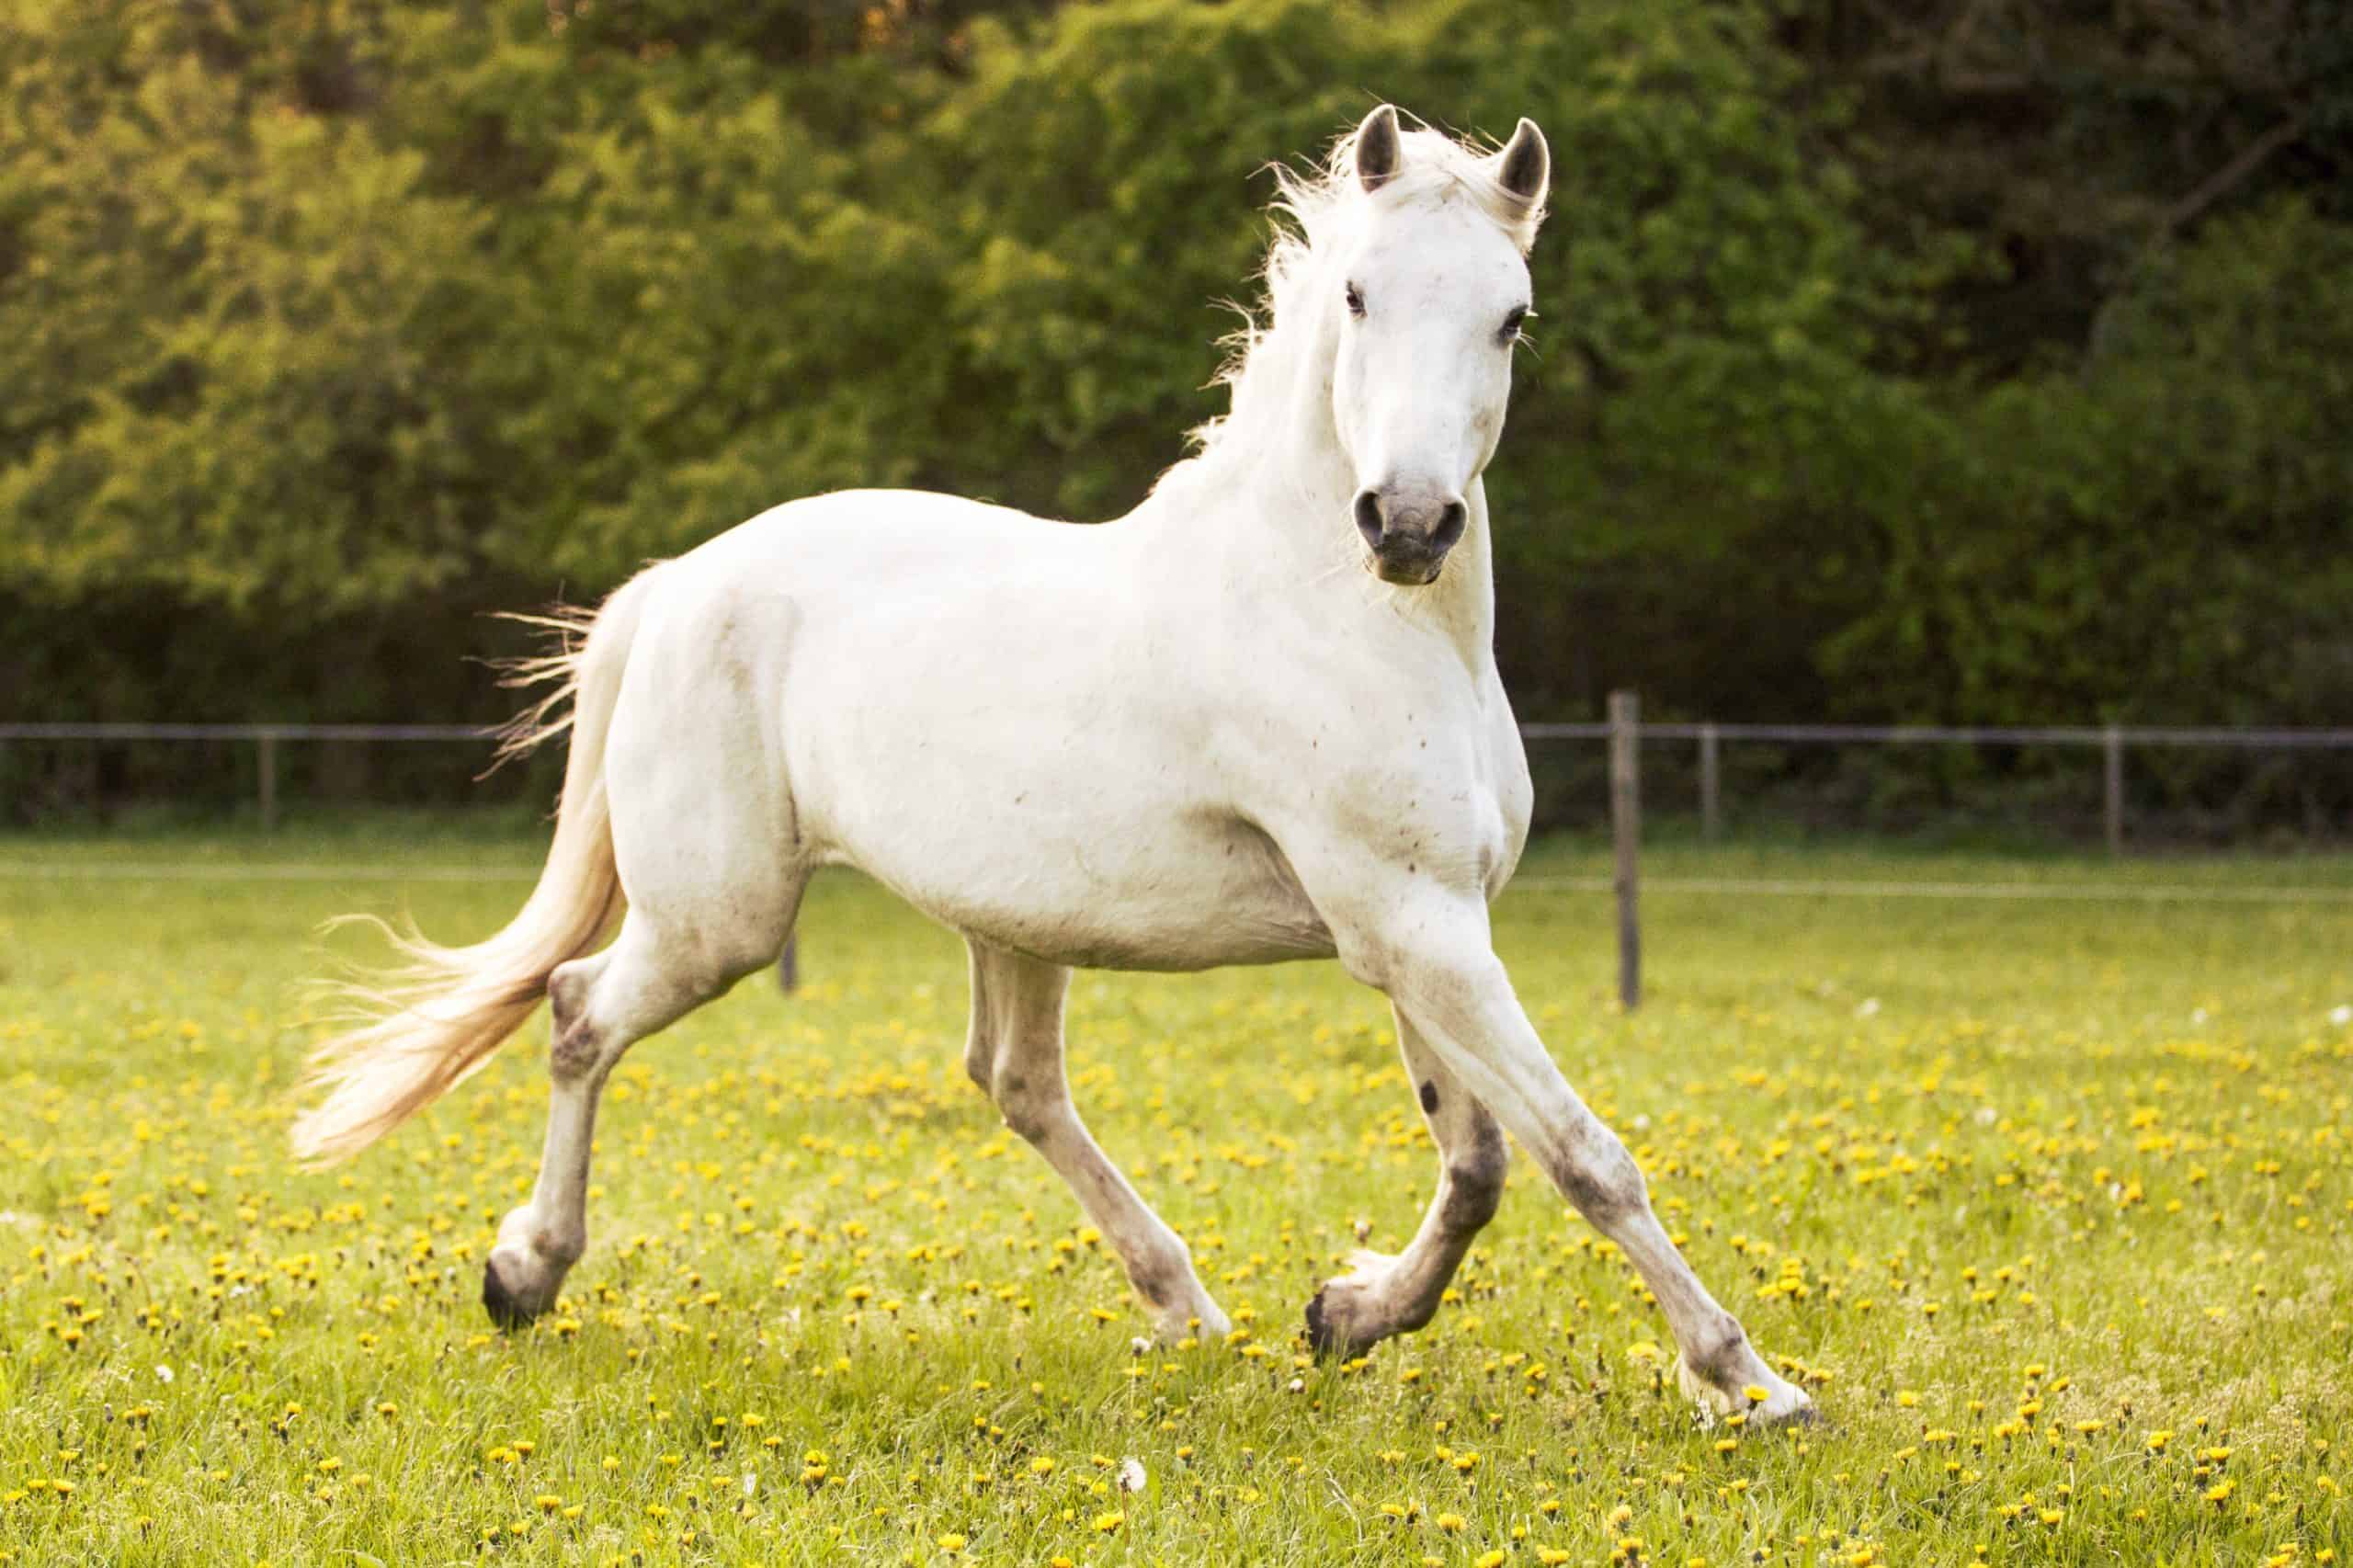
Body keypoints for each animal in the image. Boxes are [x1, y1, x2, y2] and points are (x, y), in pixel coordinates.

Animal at [299, 107, 1816, 1431]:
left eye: (1512, 315)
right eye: (1361, 296)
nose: (1409, 522)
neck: (1347, 614)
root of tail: (677, 581)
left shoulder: (1424, 925)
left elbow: (1481, 1162)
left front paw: (1346, 1312)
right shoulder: (1412, 922)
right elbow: (1582, 1156)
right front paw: (1749, 1383)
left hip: (1007, 917)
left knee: (1013, 1082)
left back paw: (1186, 1307)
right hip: (719, 918)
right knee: (575, 1012)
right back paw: (523, 1273)